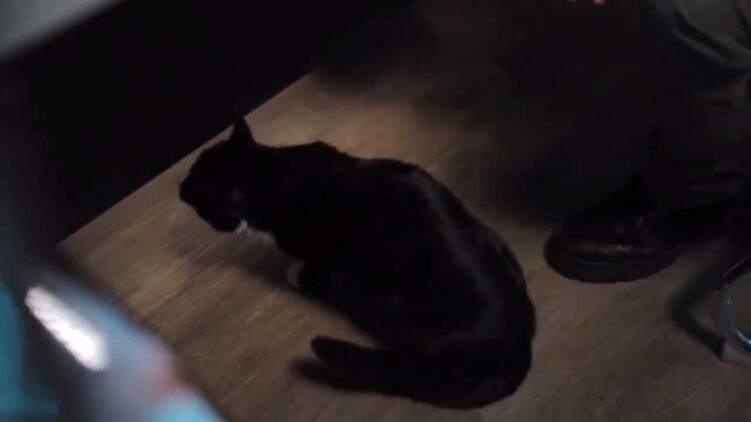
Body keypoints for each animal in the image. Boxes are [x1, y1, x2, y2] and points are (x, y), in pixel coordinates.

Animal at [179, 120, 535, 409]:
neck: (268, 180)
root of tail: (518, 350)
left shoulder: (329, 248)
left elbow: (315, 265)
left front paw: (295, 274)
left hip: (404, 314)